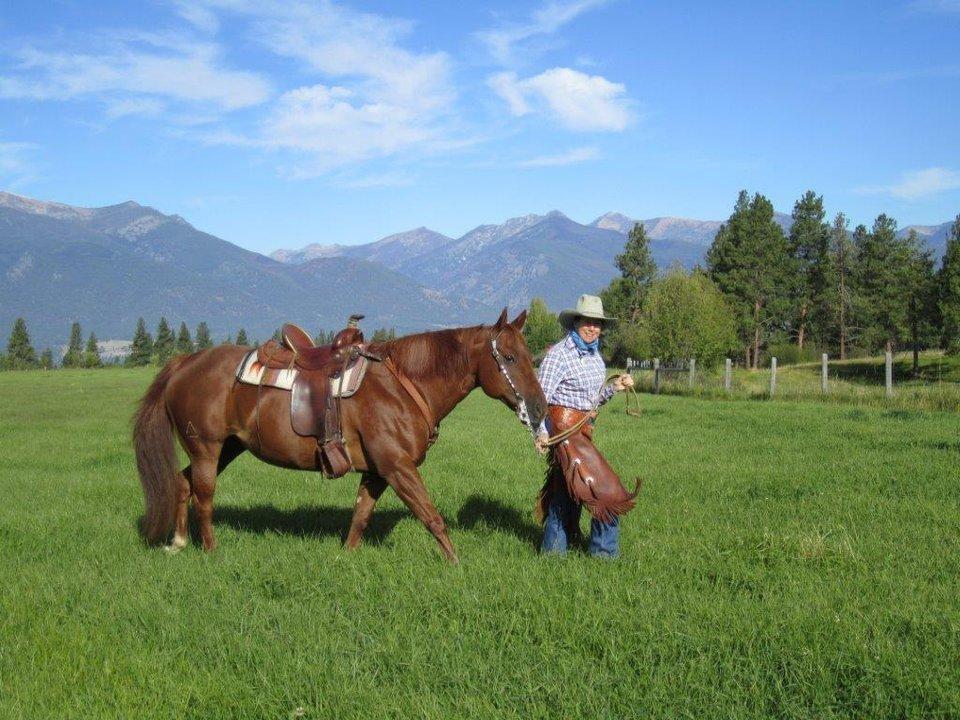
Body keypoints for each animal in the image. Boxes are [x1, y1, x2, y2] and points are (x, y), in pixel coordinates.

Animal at [133, 308, 548, 564]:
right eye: (509, 358)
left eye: (530, 355)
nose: (540, 408)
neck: (403, 385)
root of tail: (185, 362)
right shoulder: (398, 467)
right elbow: (431, 516)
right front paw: (456, 564)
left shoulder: (377, 472)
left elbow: (360, 516)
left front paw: (345, 556)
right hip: (207, 448)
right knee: (203, 496)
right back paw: (210, 548)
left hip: (227, 448)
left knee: (182, 483)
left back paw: (178, 542)